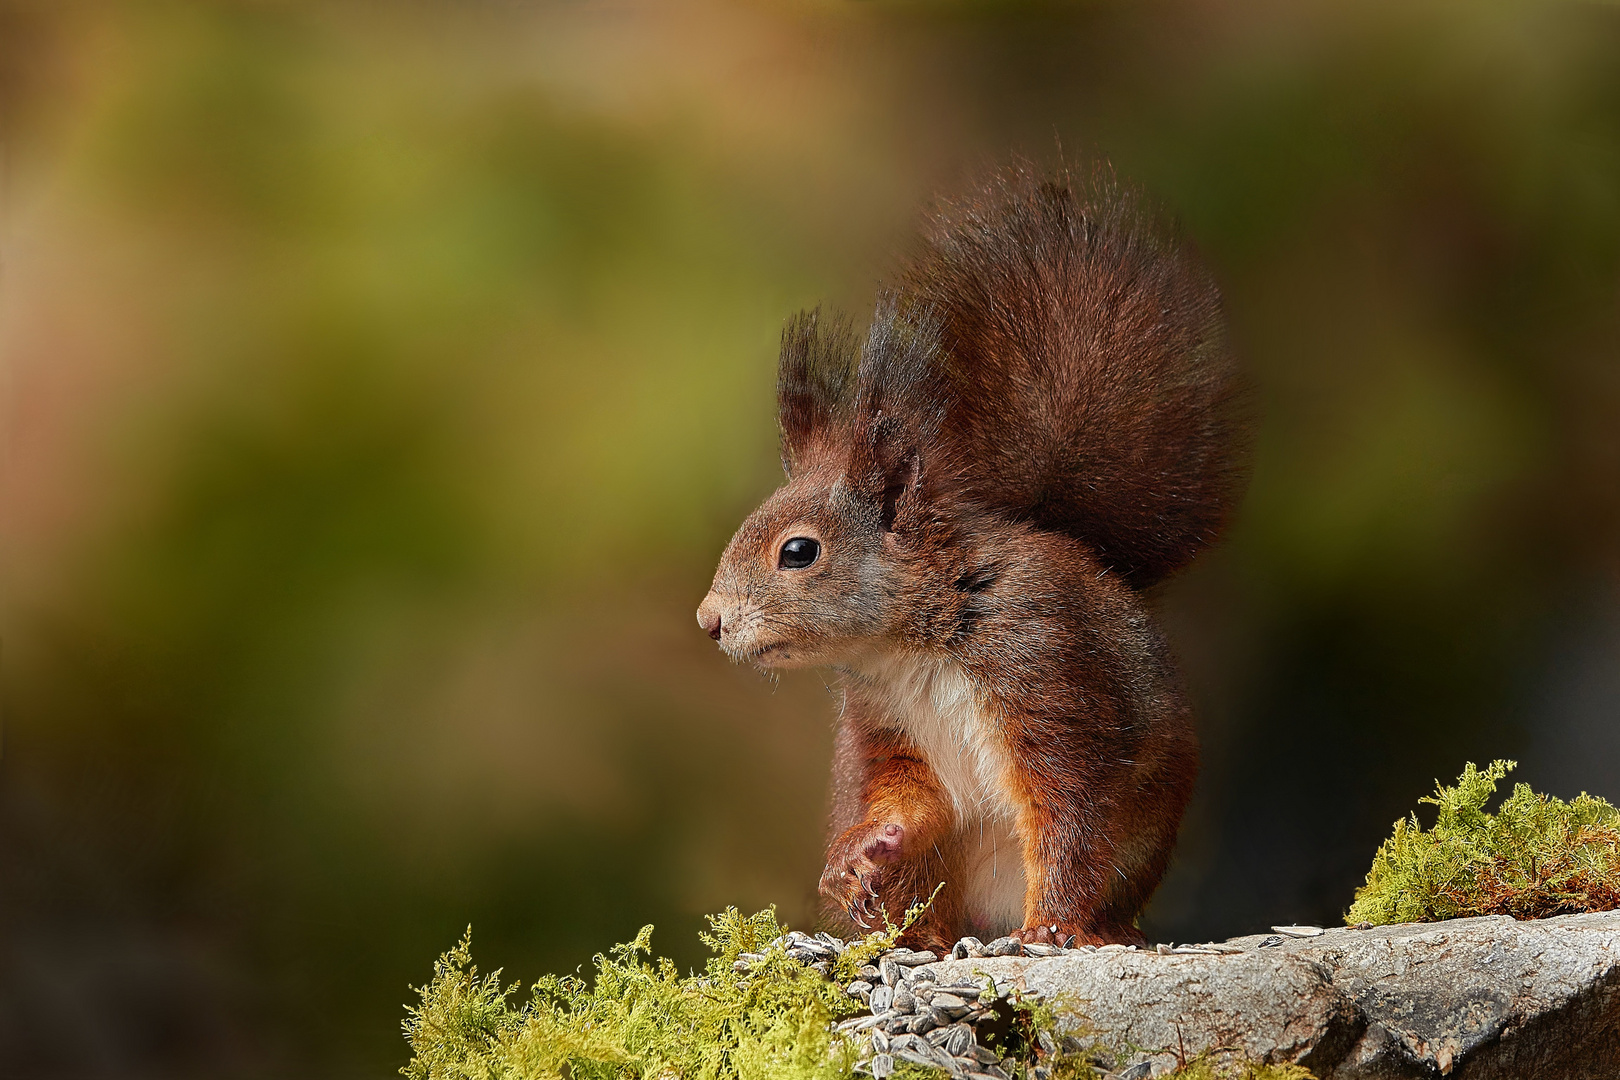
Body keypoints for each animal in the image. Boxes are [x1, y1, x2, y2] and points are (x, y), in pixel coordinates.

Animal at [693, 165, 1237, 952]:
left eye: (797, 551)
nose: (709, 621)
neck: (913, 642)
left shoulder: (1046, 669)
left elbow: (1068, 813)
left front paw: (1055, 927)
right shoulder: (884, 723)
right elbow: (909, 797)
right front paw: (864, 850)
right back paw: (902, 929)